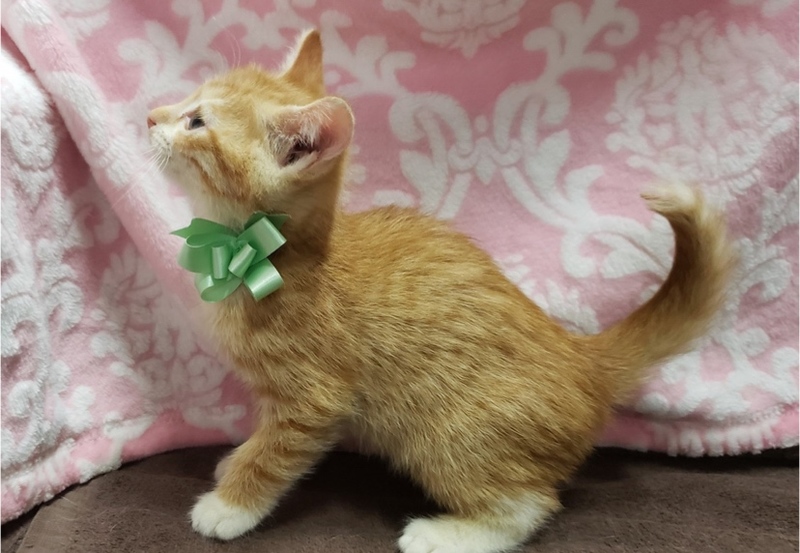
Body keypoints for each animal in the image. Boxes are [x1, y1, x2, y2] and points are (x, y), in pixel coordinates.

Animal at [147, 29, 735, 553]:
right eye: (186, 102)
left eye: (197, 121)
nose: (151, 116)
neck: (264, 257)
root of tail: (581, 358)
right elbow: (259, 440)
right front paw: (234, 460)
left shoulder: (312, 399)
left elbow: (272, 454)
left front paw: (229, 505)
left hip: (450, 434)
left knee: (530, 505)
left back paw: (448, 534)